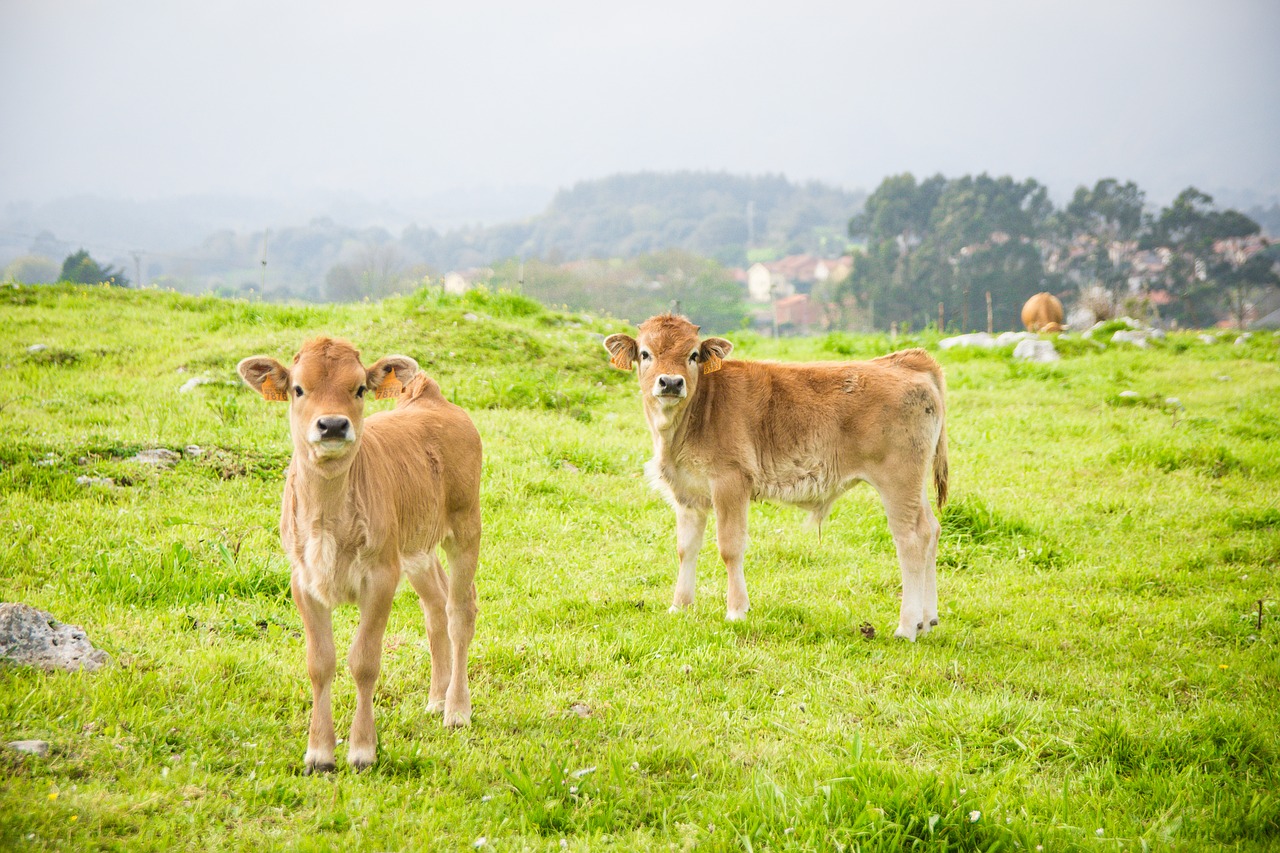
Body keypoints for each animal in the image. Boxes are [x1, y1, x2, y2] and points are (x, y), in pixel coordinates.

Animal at [238, 338, 481, 768]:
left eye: (360, 389)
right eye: (298, 389)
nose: (333, 425)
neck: (327, 520)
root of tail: (432, 399)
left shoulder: (381, 576)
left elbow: (364, 661)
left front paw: (363, 749)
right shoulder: (303, 580)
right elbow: (320, 663)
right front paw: (319, 752)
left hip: (466, 524)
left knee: (460, 611)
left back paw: (456, 709)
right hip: (416, 547)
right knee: (435, 606)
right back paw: (436, 699)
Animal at [604, 312, 947, 637]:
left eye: (693, 354)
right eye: (645, 353)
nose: (671, 383)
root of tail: (906, 361)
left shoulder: (730, 482)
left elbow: (730, 547)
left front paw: (736, 610)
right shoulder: (687, 492)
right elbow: (685, 548)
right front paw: (680, 606)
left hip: (898, 480)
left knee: (911, 539)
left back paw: (906, 627)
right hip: (916, 486)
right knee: (931, 530)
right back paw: (927, 620)